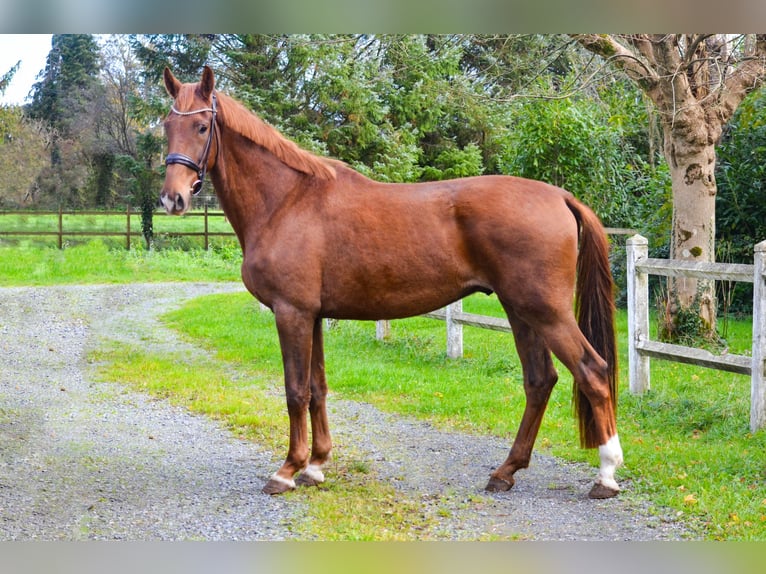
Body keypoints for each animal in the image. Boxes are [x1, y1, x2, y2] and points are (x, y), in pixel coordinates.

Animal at [160, 66, 623, 499]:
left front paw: (288, 470)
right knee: (540, 381)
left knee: (593, 372)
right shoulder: (313, 316)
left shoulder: (292, 313)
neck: (287, 200)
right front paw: (316, 466)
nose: (172, 198)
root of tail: (560, 196)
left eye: (201, 127)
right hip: (521, 311)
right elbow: (317, 388)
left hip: (546, 312)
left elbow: (295, 391)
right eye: (166, 126)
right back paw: (505, 472)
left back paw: (606, 475)